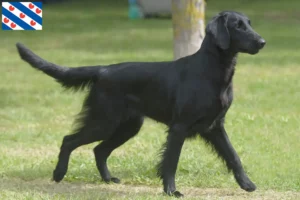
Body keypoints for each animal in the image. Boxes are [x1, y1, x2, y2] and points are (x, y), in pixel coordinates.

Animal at [16, 10, 264, 197]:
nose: (262, 42)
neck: (212, 70)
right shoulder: (180, 127)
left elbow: (233, 156)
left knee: (99, 149)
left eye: (249, 24)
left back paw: (108, 179)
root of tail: (103, 70)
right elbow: (171, 161)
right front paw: (171, 191)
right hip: (104, 121)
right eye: (238, 26)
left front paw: (247, 184)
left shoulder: (215, 126)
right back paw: (59, 174)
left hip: (128, 126)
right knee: (69, 140)